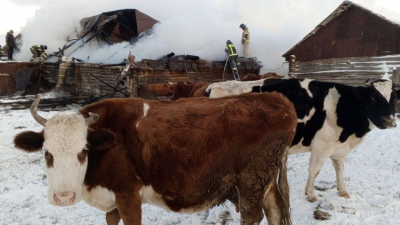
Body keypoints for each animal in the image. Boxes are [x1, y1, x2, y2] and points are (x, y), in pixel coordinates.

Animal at [14, 92, 296, 224]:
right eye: (47, 152)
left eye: (83, 150)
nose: (63, 197)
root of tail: (277, 99)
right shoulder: (113, 198)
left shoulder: (128, 195)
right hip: (264, 181)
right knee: (274, 210)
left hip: (251, 182)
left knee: (252, 216)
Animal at [206, 74, 396, 202]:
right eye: (373, 98)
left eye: (394, 98)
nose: (390, 121)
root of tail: (212, 87)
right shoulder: (322, 145)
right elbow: (314, 170)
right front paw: (310, 194)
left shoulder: (337, 147)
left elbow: (340, 168)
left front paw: (343, 191)